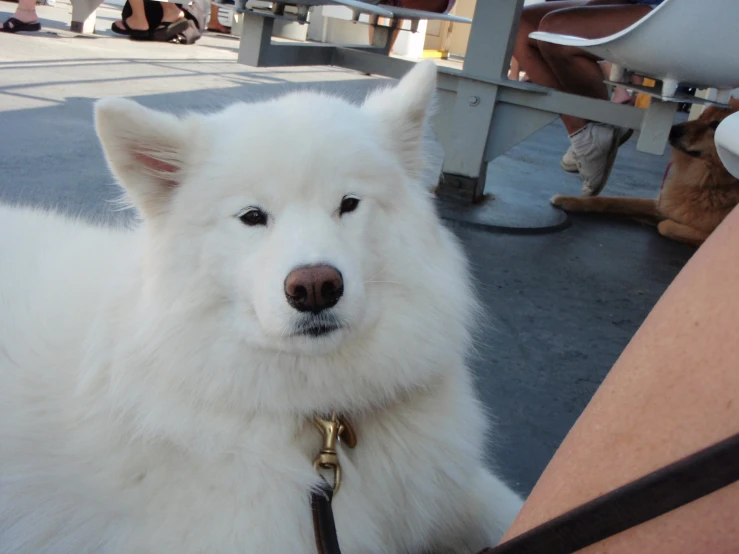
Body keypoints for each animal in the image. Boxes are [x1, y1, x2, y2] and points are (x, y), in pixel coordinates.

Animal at [552, 101, 739, 244]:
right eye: (701, 116)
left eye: (716, 125)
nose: (672, 130)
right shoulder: (664, 203)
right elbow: (612, 200)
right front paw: (569, 200)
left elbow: (665, 225)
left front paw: (666, 223)